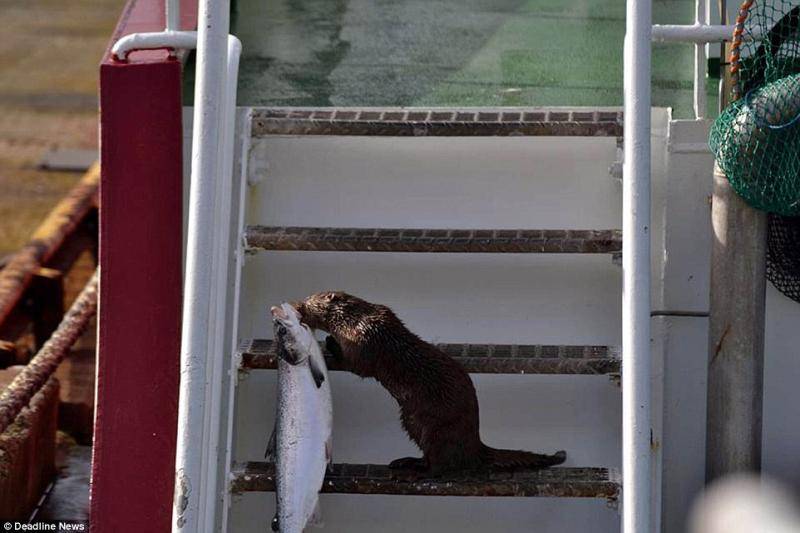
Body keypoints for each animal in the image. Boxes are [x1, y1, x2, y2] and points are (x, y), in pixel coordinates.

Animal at [290, 290, 564, 474]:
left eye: (307, 301)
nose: (295, 305)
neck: (356, 320)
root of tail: (475, 443)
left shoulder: (365, 342)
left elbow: (358, 366)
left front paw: (330, 342)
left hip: (437, 427)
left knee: (440, 466)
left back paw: (414, 470)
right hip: (412, 422)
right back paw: (406, 462)